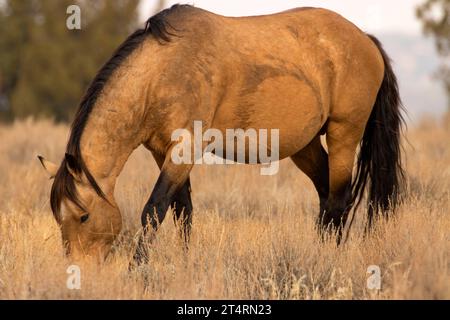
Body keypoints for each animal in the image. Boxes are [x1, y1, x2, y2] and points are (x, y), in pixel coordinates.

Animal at [37, 3, 404, 262]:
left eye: (83, 217)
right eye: (58, 218)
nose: (80, 271)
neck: (162, 73)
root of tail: (366, 40)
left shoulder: (184, 149)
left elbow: (154, 210)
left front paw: (137, 269)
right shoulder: (162, 151)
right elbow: (182, 211)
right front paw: (185, 263)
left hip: (345, 134)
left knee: (339, 199)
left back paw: (329, 258)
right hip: (306, 146)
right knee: (327, 197)